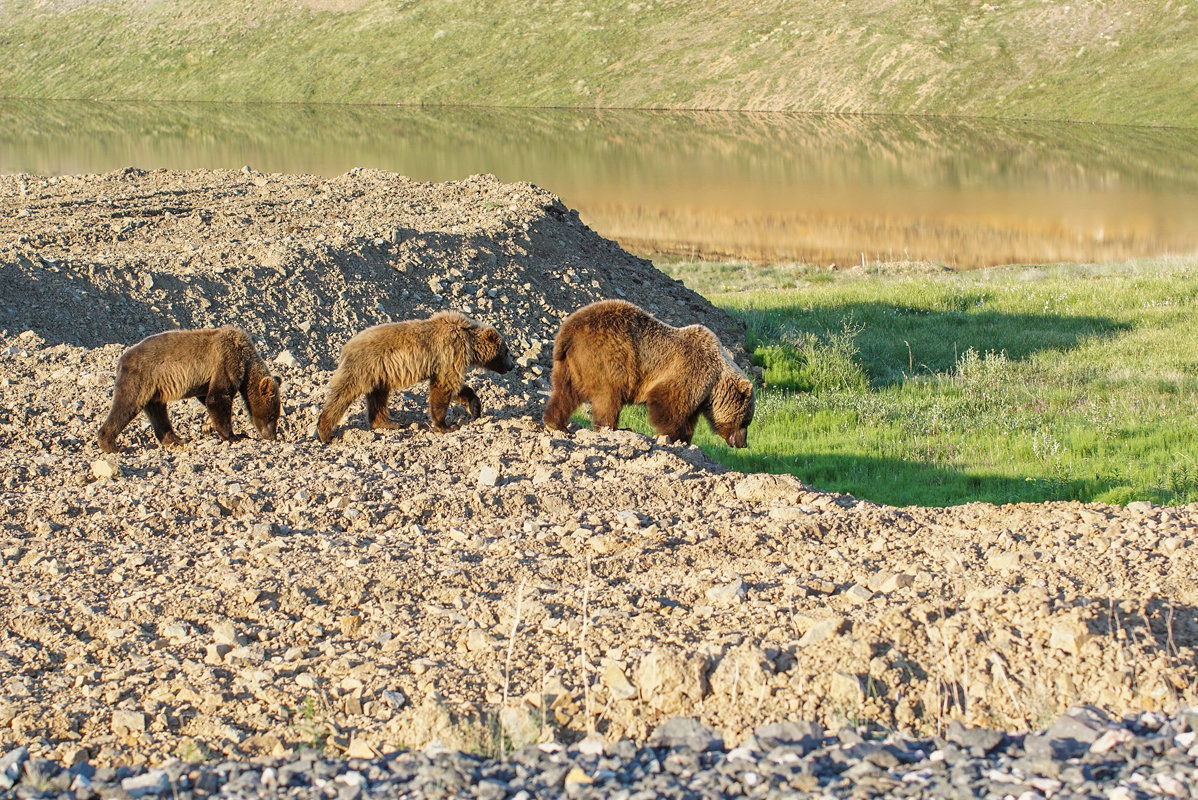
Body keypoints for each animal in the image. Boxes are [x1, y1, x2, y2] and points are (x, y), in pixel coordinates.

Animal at [98, 325, 282, 450]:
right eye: (273, 416)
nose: (272, 436)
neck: (245, 358)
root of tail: (122, 359)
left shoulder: (207, 378)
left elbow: (207, 397)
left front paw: (208, 426)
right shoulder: (226, 361)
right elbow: (217, 397)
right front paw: (234, 436)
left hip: (154, 389)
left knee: (158, 414)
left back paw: (176, 439)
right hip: (140, 378)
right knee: (126, 405)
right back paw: (109, 443)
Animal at [316, 308, 512, 443]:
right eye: (506, 351)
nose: (512, 366)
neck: (469, 340)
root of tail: (346, 347)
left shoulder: (448, 362)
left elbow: (457, 388)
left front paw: (475, 408)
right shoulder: (451, 352)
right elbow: (444, 387)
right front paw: (446, 426)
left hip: (379, 375)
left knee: (378, 398)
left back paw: (390, 422)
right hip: (361, 368)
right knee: (341, 396)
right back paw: (326, 433)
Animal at [546, 301, 752, 450]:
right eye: (746, 421)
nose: (743, 443)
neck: (715, 383)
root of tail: (568, 331)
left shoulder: (698, 394)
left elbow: (688, 416)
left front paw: (685, 438)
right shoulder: (690, 370)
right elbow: (667, 403)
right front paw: (670, 436)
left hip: (569, 364)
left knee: (565, 393)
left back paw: (555, 424)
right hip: (607, 358)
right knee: (608, 398)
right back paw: (615, 428)